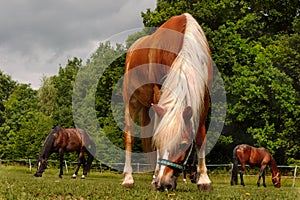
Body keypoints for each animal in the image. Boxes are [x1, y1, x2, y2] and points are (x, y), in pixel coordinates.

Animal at [120, 12, 212, 191]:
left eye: (183, 144)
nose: (164, 183)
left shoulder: (204, 97)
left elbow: (200, 137)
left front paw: (204, 180)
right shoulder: (159, 92)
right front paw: (156, 176)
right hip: (131, 101)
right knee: (129, 137)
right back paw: (129, 178)